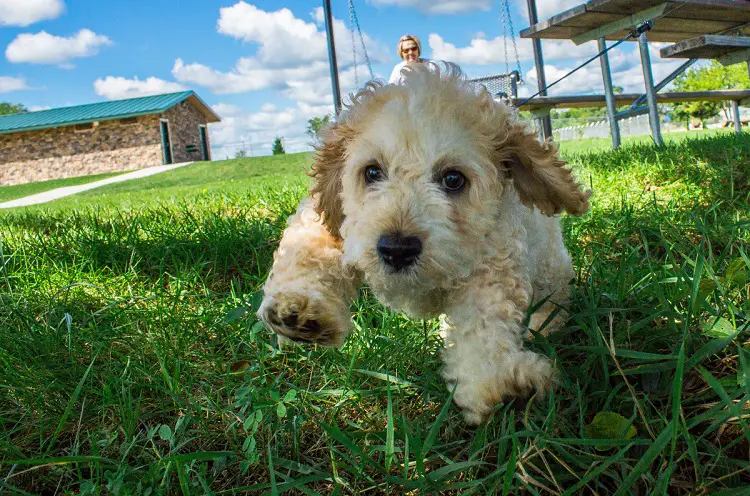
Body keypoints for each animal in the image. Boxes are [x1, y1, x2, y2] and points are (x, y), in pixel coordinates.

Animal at [262, 62, 592, 424]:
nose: (397, 250)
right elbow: (308, 245)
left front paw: (501, 384)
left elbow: (484, 323)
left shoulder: (492, 263)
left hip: (550, 265)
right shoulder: (337, 220)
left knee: (554, 295)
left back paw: (546, 325)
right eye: (372, 172)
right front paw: (299, 309)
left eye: (453, 179)